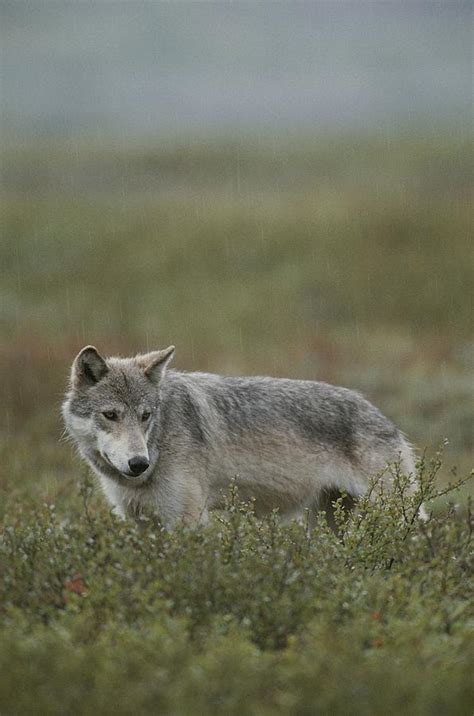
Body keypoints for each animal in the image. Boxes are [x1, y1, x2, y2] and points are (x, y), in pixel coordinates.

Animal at [62, 344, 422, 528]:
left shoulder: (187, 520)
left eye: (145, 416)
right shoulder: (138, 522)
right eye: (111, 415)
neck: (159, 442)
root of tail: (380, 414)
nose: (139, 463)